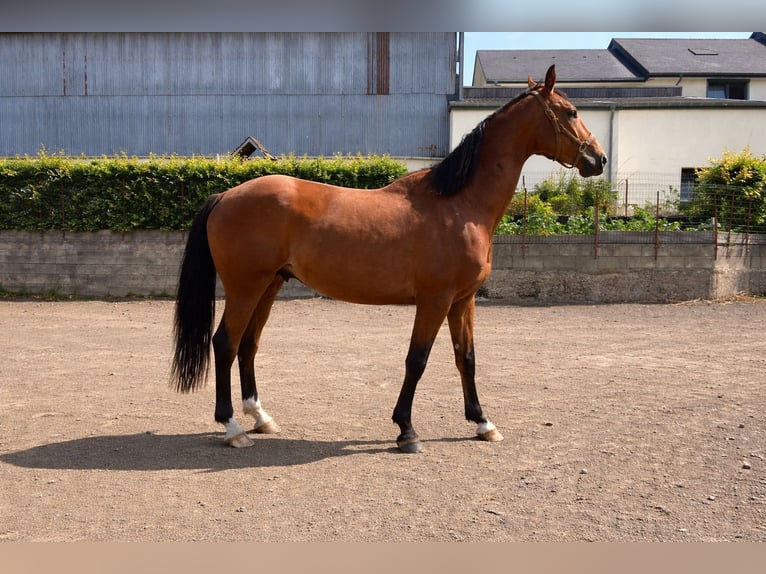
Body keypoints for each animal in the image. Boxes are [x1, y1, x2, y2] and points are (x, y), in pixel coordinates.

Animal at [171, 65, 607, 453]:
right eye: (572, 112)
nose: (599, 159)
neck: (459, 204)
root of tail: (226, 195)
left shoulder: (462, 301)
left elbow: (465, 358)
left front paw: (482, 422)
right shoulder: (435, 300)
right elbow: (417, 360)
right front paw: (406, 430)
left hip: (270, 285)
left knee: (248, 345)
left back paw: (260, 418)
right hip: (246, 287)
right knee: (225, 343)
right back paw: (232, 427)